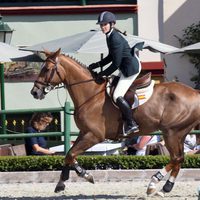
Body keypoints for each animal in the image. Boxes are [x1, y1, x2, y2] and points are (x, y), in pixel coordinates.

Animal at [30, 49, 200, 196]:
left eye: (46, 69)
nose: (34, 92)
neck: (91, 94)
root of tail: (195, 92)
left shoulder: (94, 136)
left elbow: (71, 154)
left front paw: (83, 176)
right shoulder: (84, 133)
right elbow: (68, 155)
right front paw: (66, 181)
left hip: (171, 132)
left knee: (176, 158)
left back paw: (153, 183)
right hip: (179, 133)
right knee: (179, 158)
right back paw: (165, 188)